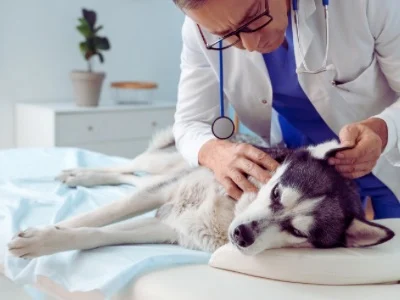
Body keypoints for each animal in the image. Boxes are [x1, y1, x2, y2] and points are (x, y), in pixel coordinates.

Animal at [7, 126, 396, 258]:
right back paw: (80, 174)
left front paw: (49, 238)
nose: (241, 236)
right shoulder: (164, 197)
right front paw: (44, 234)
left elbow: (98, 234)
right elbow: (98, 216)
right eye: (275, 194)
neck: (230, 208)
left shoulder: (169, 227)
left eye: (298, 232)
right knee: (129, 170)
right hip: (163, 165)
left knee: (133, 178)